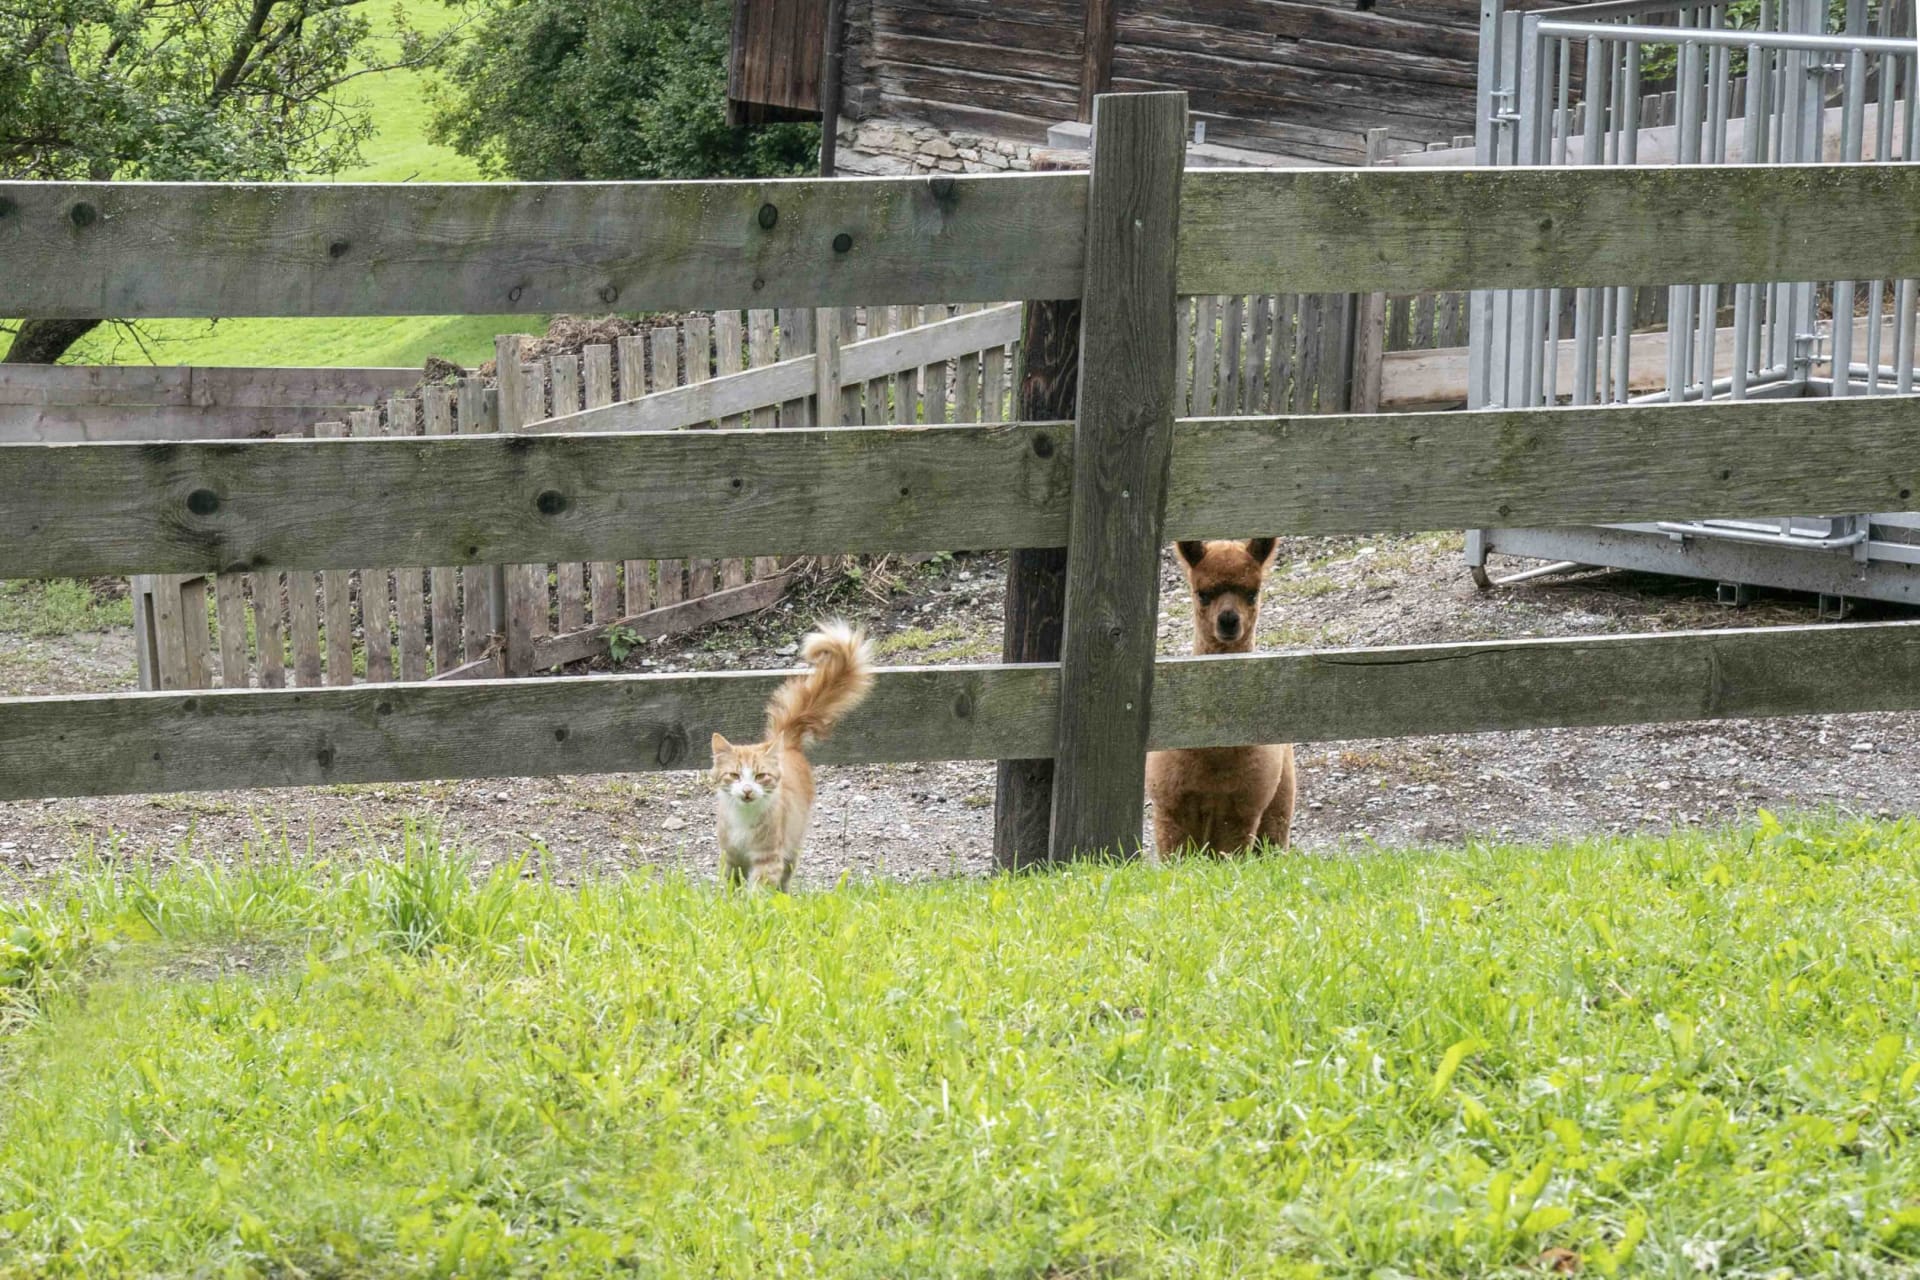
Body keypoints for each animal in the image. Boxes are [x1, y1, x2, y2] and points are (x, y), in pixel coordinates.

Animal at [1146, 538, 1297, 856]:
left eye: (1252, 592)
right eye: (1202, 594)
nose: (1229, 620)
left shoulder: (1242, 811)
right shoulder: (1171, 808)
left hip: (1278, 808)